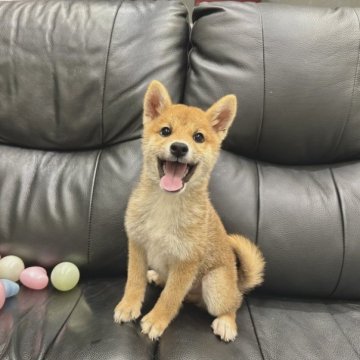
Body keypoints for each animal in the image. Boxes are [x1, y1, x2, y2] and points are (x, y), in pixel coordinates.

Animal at [114, 80, 266, 342]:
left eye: (198, 137)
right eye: (166, 131)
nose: (178, 148)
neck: (166, 203)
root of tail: (236, 282)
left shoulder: (186, 262)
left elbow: (170, 297)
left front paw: (156, 320)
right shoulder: (137, 245)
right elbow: (133, 281)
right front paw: (128, 305)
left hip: (215, 286)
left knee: (234, 304)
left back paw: (226, 323)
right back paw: (156, 277)